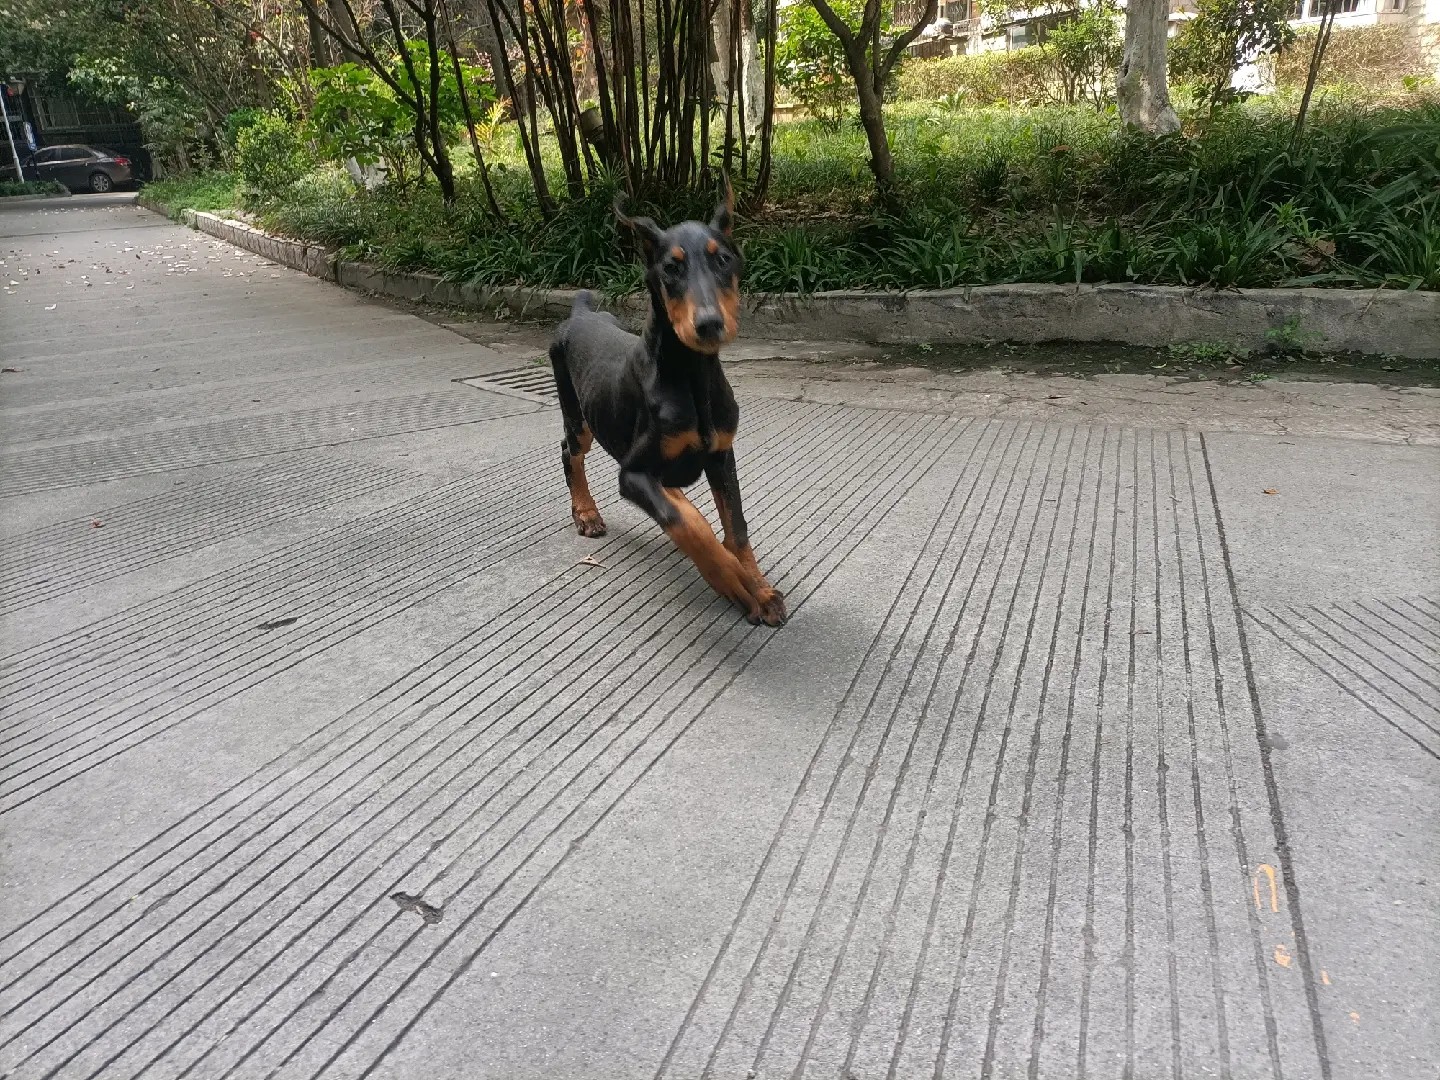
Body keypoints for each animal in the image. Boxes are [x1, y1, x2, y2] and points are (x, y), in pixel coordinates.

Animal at [547, 182, 787, 627]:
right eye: (671, 268)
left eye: (723, 259)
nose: (709, 324)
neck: (693, 375)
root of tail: (581, 312)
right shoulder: (633, 473)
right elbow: (689, 527)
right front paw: (734, 581)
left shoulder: (722, 454)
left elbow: (736, 527)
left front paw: (760, 589)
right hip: (577, 413)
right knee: (570, 451)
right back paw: (586, 513)